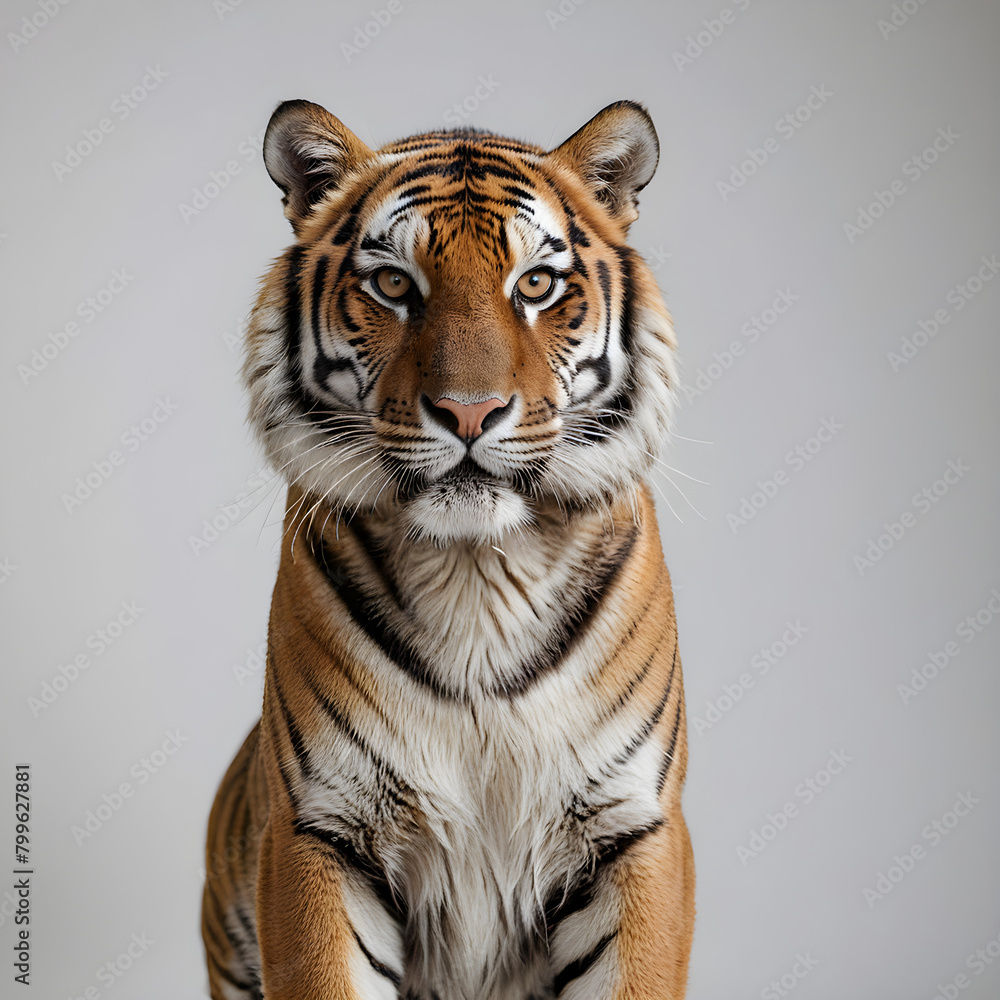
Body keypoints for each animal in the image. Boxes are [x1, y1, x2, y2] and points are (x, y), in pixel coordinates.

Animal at [201, 97, 694, 1000]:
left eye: (535, 284)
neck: (478, 572)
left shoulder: (632, 827)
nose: (469, 412)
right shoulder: (320, 829)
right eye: (395, 283)